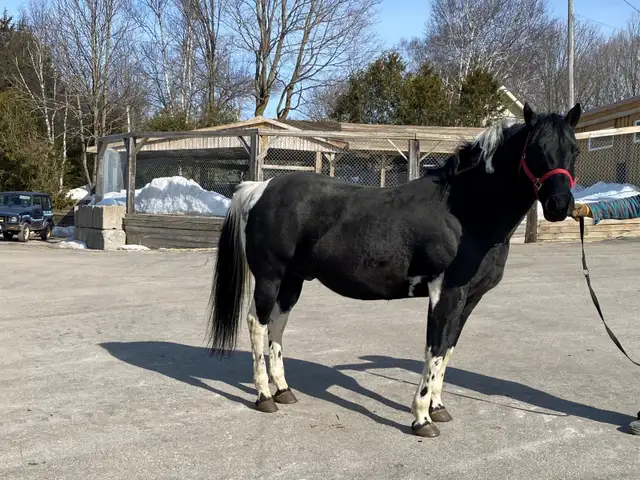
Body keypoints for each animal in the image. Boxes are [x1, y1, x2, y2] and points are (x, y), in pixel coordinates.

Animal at [206, 102, 582, 438]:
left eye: (574, 150)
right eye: (535, 149)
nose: (559, 205)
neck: (464, 212)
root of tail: (260, 188)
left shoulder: (469, 299)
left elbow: (448, 349)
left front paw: (439, 408)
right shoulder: (445, 294)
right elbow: (434, 350)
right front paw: (422, 418)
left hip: (292, 280)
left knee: (277, 325)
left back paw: (283, 390)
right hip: (270, 277)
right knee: (257, 323)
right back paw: (264, 396)